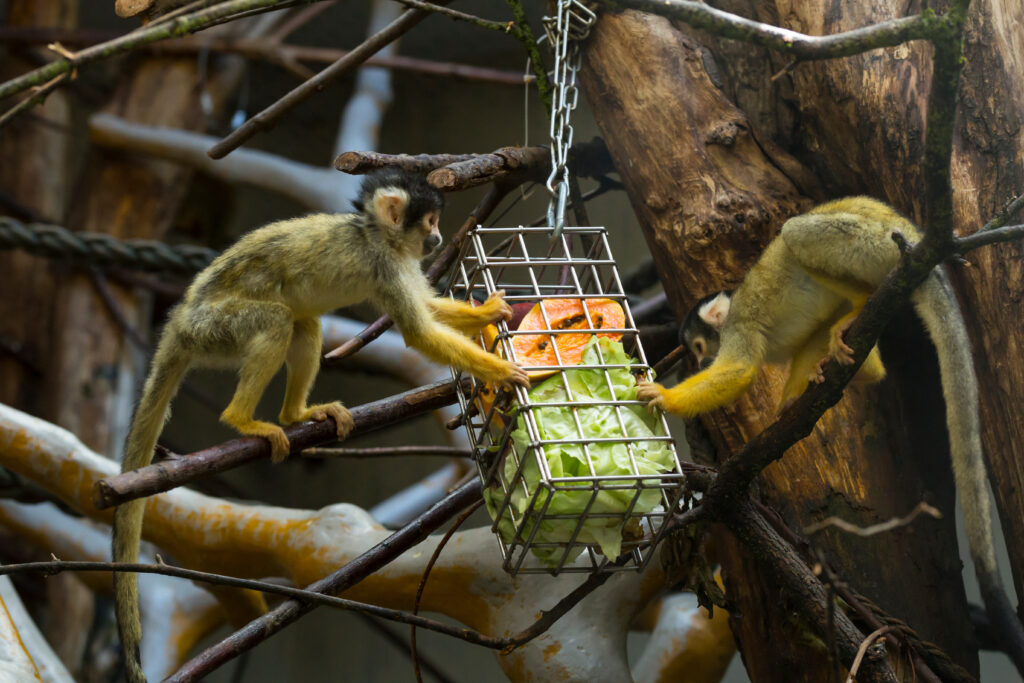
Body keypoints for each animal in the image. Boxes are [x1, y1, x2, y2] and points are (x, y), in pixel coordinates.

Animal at [112, 167, 528, 679]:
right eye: (429, 221)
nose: (435, 238)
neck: (375, 235)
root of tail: (178, 322)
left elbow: (427, 311)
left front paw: (487, 313)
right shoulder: (383, 263)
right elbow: (418, 331)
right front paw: (503, 371)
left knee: (303, 323)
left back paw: (296, 415)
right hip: (216, 330)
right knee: (276, 319)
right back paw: (243, 420)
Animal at [634, 197, 1024, 671]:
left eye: (696, 347)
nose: (699, 361)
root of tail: (918, 243)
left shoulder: (741, 322)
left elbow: (740, 369)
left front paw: (665, 396)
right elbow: (808, 340)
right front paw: (788, 406)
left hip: (875, 246)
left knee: (795, 232)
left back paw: (856, 302)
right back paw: (857, 364)